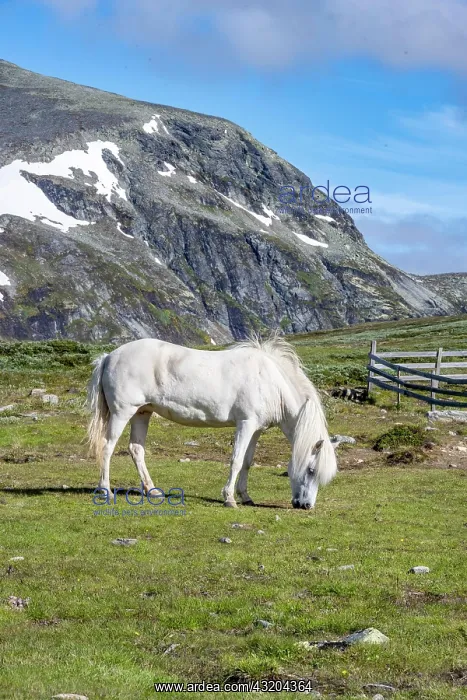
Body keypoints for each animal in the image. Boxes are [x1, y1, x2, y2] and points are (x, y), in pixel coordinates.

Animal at [87, 335, 338, 509]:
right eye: (311, 469)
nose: (305, 505)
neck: (271, 382)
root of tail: (108, 356)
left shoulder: (256, 429)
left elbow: (247, 462)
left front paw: (246, 496)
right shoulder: (245, 424)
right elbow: (236, 461)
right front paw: (229, 499)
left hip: (142, 413)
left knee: (136, 449)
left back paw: (153, 491)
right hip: (123, 412)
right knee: (107, 447)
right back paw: (105, 490)